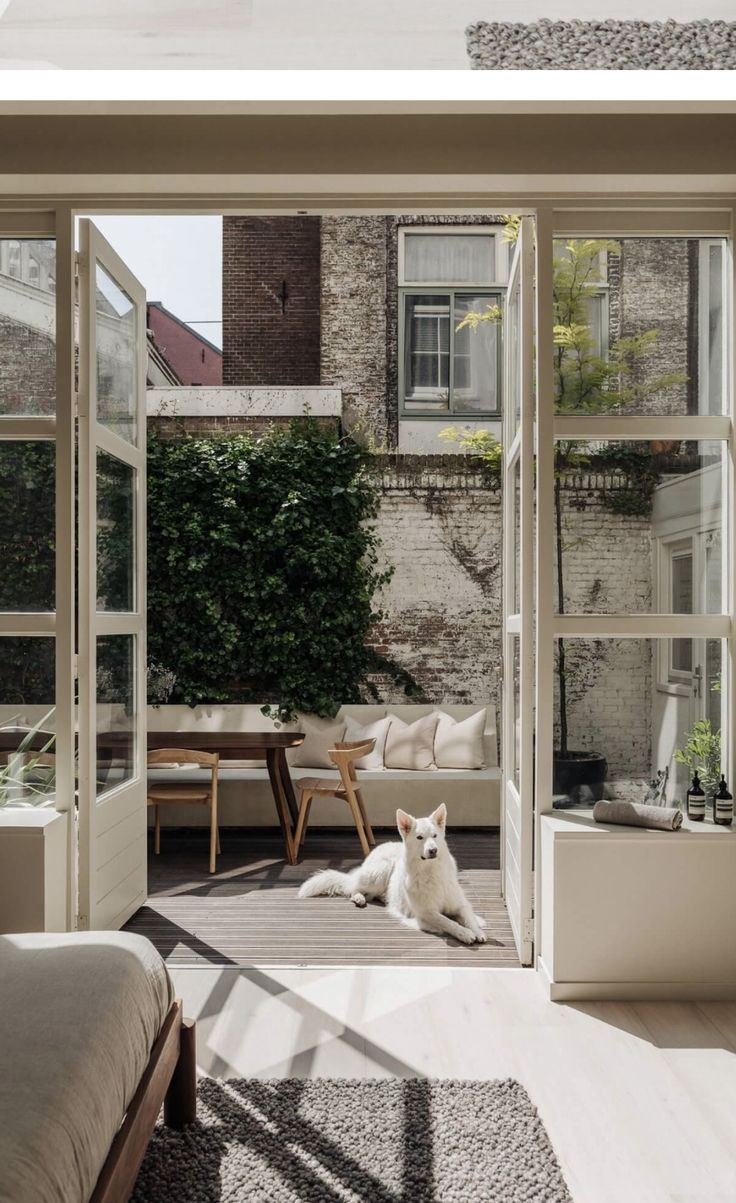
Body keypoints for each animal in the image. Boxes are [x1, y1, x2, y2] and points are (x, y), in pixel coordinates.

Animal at [295, 803, 485, 943]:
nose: (433, 850)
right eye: (419, 837)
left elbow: (467, 916)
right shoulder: (426, 913)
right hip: (380, 873)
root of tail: (382, 845)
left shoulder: (460, 904)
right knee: (352, 888)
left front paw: (477, 929)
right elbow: (448, 921)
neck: (431, 871)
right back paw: (359, 897)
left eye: (435, 836)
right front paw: (465, 933)